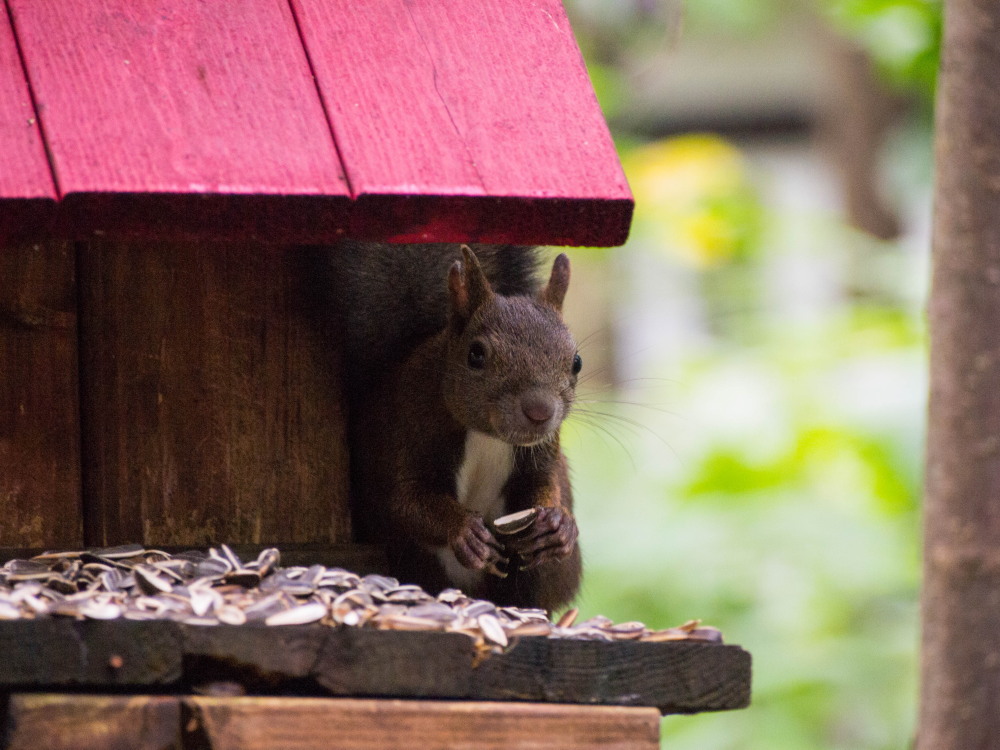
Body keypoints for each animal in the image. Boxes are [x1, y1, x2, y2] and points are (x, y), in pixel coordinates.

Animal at [330, 244, 580, 612]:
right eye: (476, 354)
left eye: (576, 362)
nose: (540, 411)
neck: (488, 437)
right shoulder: (409, 431)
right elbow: (407, 501)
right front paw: (464, 531)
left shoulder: (544, 450)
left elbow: (544, 483)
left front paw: (557, 522)